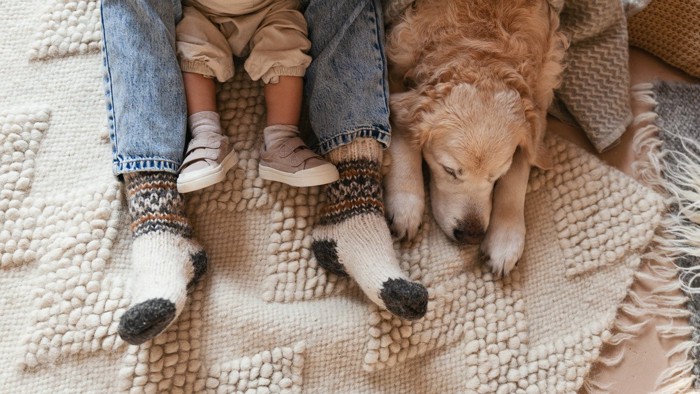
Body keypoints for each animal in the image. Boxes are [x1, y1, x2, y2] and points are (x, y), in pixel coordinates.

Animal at [382, 0, 568, 278]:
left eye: (497, 175)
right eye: (449, 170)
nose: (470, 235)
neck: (482, 46)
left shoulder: (541, 90)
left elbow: (521, 167)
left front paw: (506, 239)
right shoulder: (396, 63)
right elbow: (405, 133)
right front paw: (406, 202)